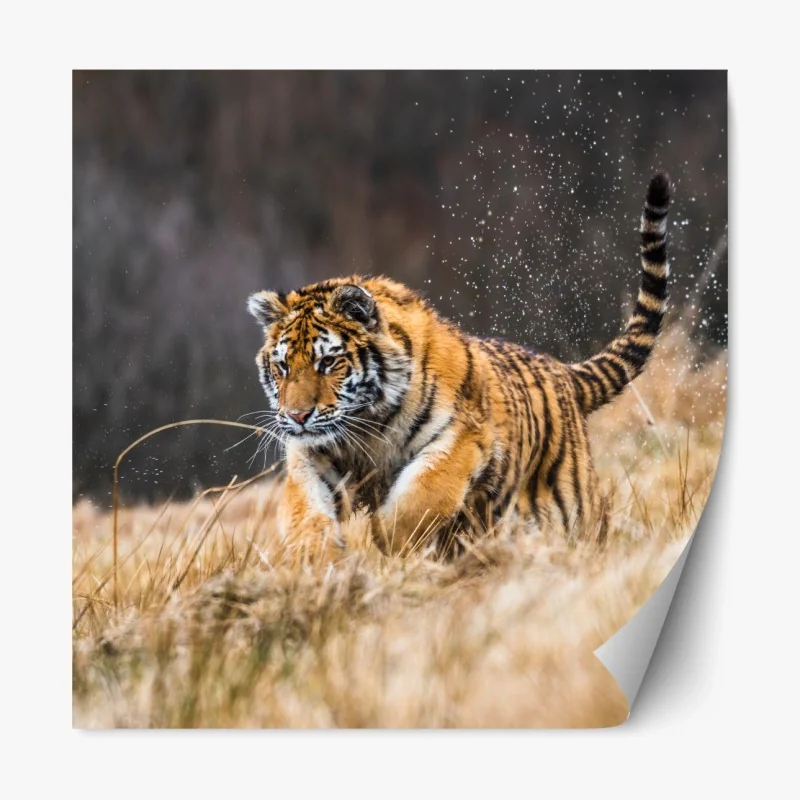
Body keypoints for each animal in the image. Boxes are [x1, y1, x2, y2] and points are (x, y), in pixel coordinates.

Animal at [247, 173, 671, 562]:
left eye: (328, 362)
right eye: (282, 366)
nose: (297, 416)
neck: (366, 427)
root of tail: (562, 371)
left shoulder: (462, 439)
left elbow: (422, 497)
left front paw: (386, 544)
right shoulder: (311, 454)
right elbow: (305, 510)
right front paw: (316, 561)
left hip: (572, 505)